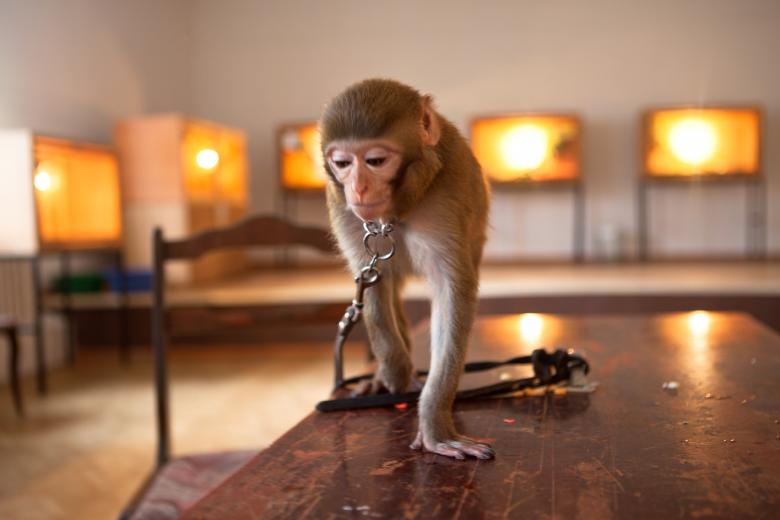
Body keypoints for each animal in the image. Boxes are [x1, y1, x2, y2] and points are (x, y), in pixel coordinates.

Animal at [320, 79, 493, 460]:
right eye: (342, 163)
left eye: (375, 161)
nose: (358, 188)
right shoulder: (343, 209)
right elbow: (373, 285)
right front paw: (395, 371)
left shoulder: (449, 193)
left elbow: (451, 294)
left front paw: (434, 422)